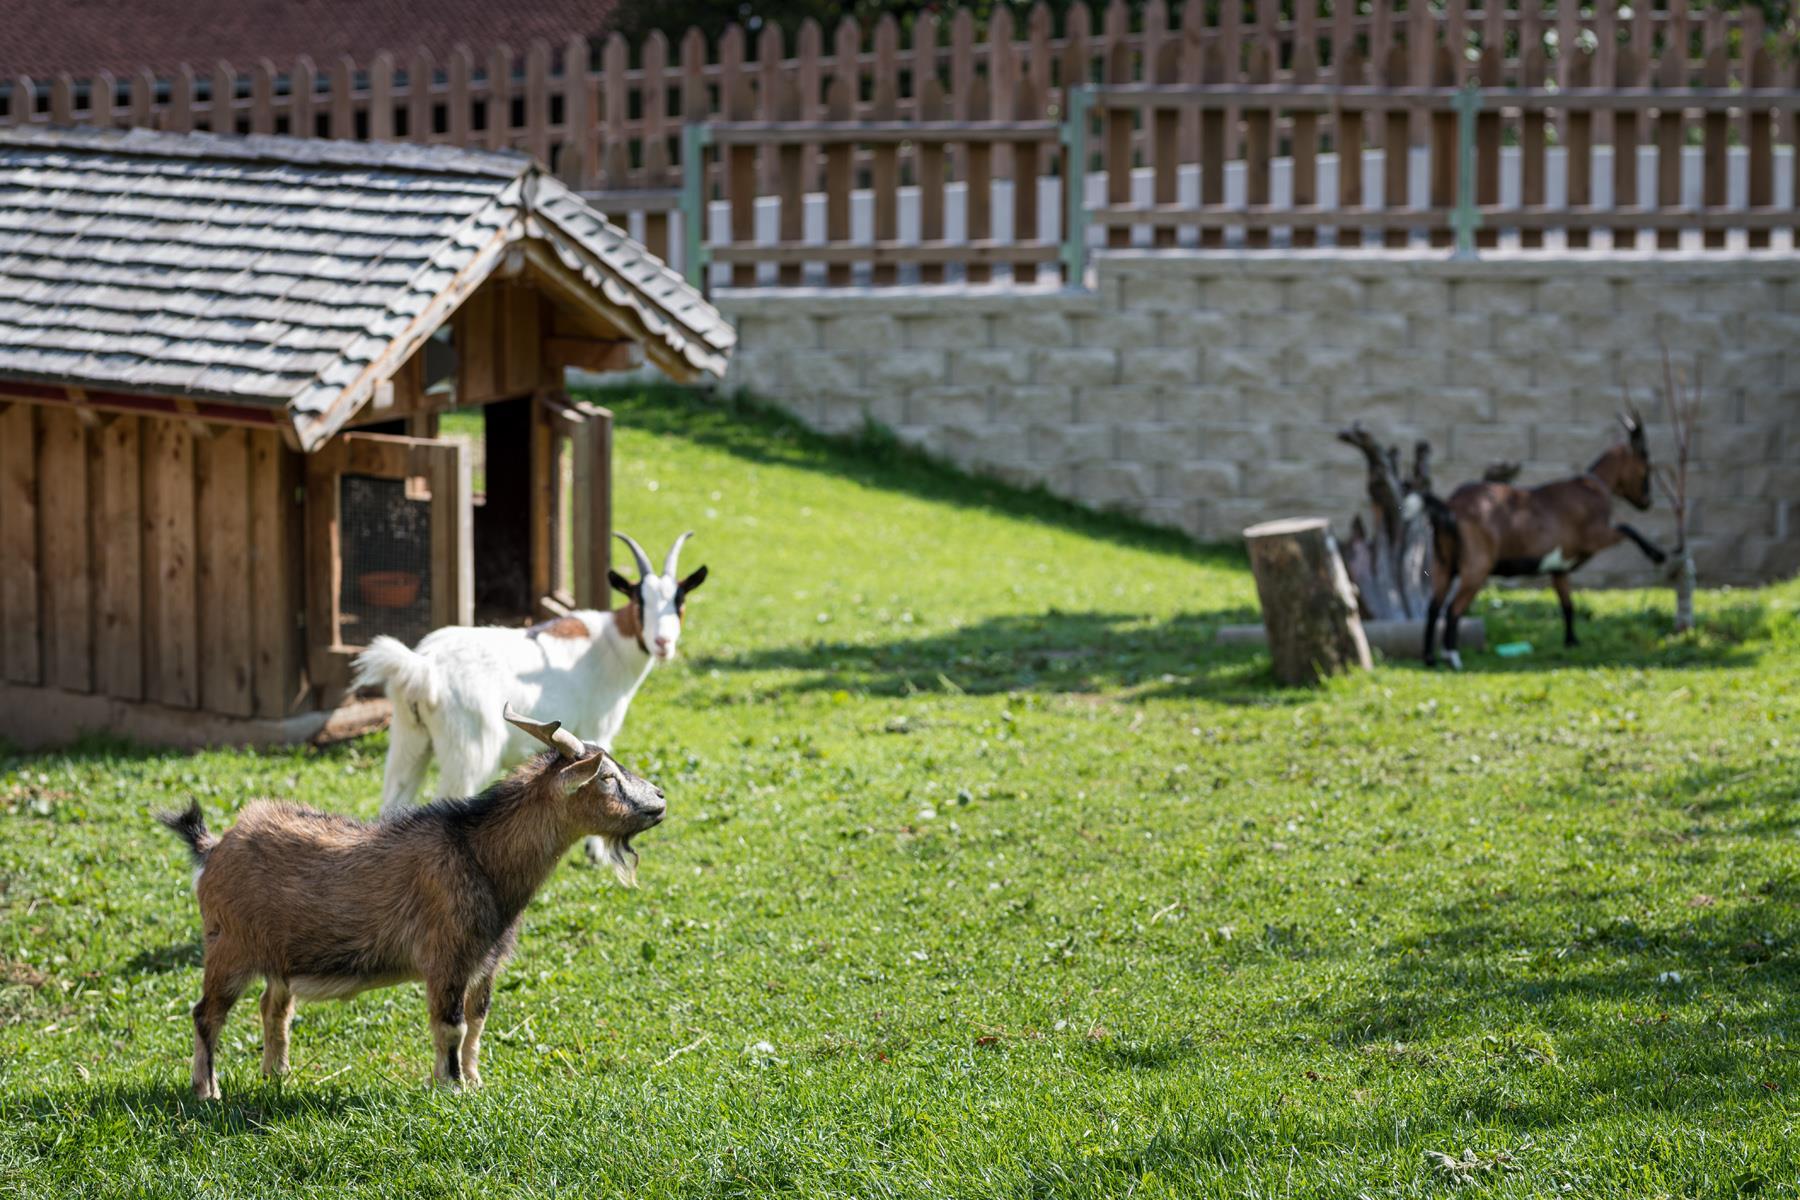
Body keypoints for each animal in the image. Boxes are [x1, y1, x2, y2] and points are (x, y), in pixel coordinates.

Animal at [157, 705, 665, 1098]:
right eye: (606, 777)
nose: (659, 799)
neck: (479, 855)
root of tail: (212, 847)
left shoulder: (485, 963)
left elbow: (477, 1024)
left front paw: (473, 1081)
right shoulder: (447, 957)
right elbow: (451, 1026)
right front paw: (451, 1088)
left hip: (276, 954)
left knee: (274, 1007)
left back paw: (276, 1075)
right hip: (228, 947)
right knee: (206, 1014)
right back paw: (208, 1091)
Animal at [352, 530, 705, 866]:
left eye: (679, 600)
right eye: (639, 600)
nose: (662, 643)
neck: (610, 644)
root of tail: (424, 667)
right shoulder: (598, 727)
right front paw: (596, 853)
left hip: (408, 739)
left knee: (393, 798)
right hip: (468, 750)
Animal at [1414, 409, 1667, 669]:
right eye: (1647, 466)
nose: (1647, 502)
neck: (1594, 487)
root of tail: (1450, 506)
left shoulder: (1559, 568)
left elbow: (1568, 604)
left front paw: (1571, 642)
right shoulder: (1595, 536)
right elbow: (1627, 528)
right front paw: (1658, 555)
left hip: (1443, 564)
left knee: (1433, 608)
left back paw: (1430, 658)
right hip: (1476, 567)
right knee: (1452, 609)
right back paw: (1452, 657)